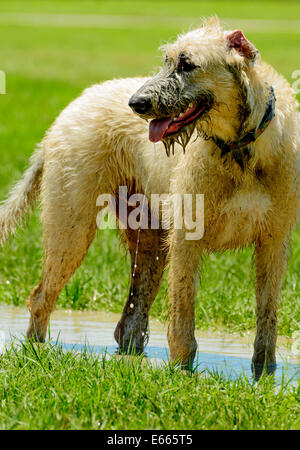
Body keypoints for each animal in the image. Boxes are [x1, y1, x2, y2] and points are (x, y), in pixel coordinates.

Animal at [1, 17, 298, 378]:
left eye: (187, 64)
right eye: (166, 61)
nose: (136, 104)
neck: (239, 149)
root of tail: (67, 110)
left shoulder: (274, 242)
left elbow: (268, 310)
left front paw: (264, 376)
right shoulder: (186, 236)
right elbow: (183, 310)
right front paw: (181, 374)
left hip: (149, 236)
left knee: (130, 314)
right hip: (72, 222)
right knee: (42, 294)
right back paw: (36, 352)